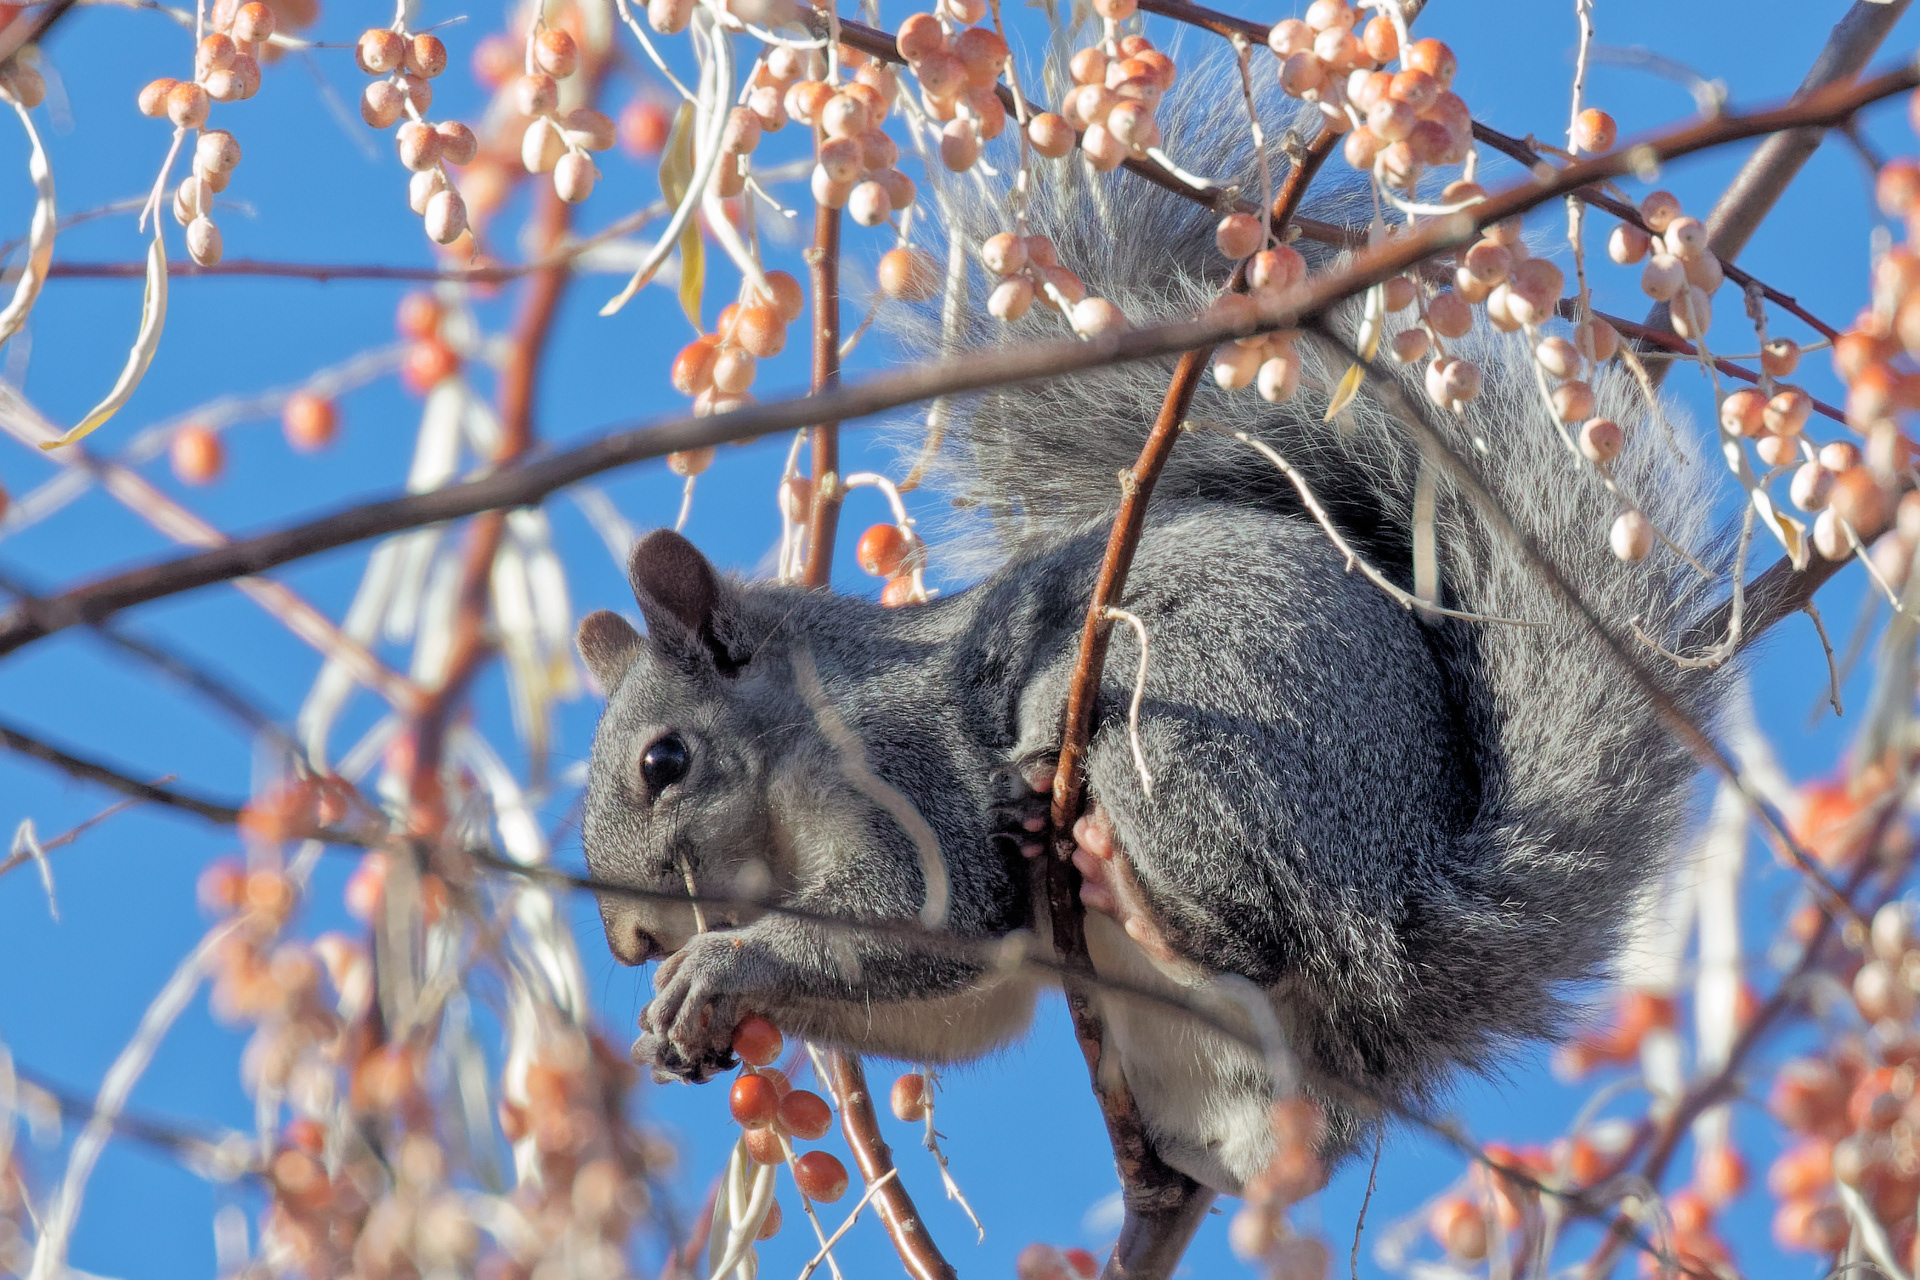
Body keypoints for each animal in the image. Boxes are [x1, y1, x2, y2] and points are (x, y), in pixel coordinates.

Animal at [573, 89, 1729, 1196]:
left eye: (663, 762)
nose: (634, 943)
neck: (803, 739)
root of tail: (1400, 906)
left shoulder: (904, 775)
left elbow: (934, 916)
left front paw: (724, 963)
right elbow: (964, 1007)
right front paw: (675, 1020)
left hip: (1177, 736)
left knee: (1247, 934)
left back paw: (1120, 875)